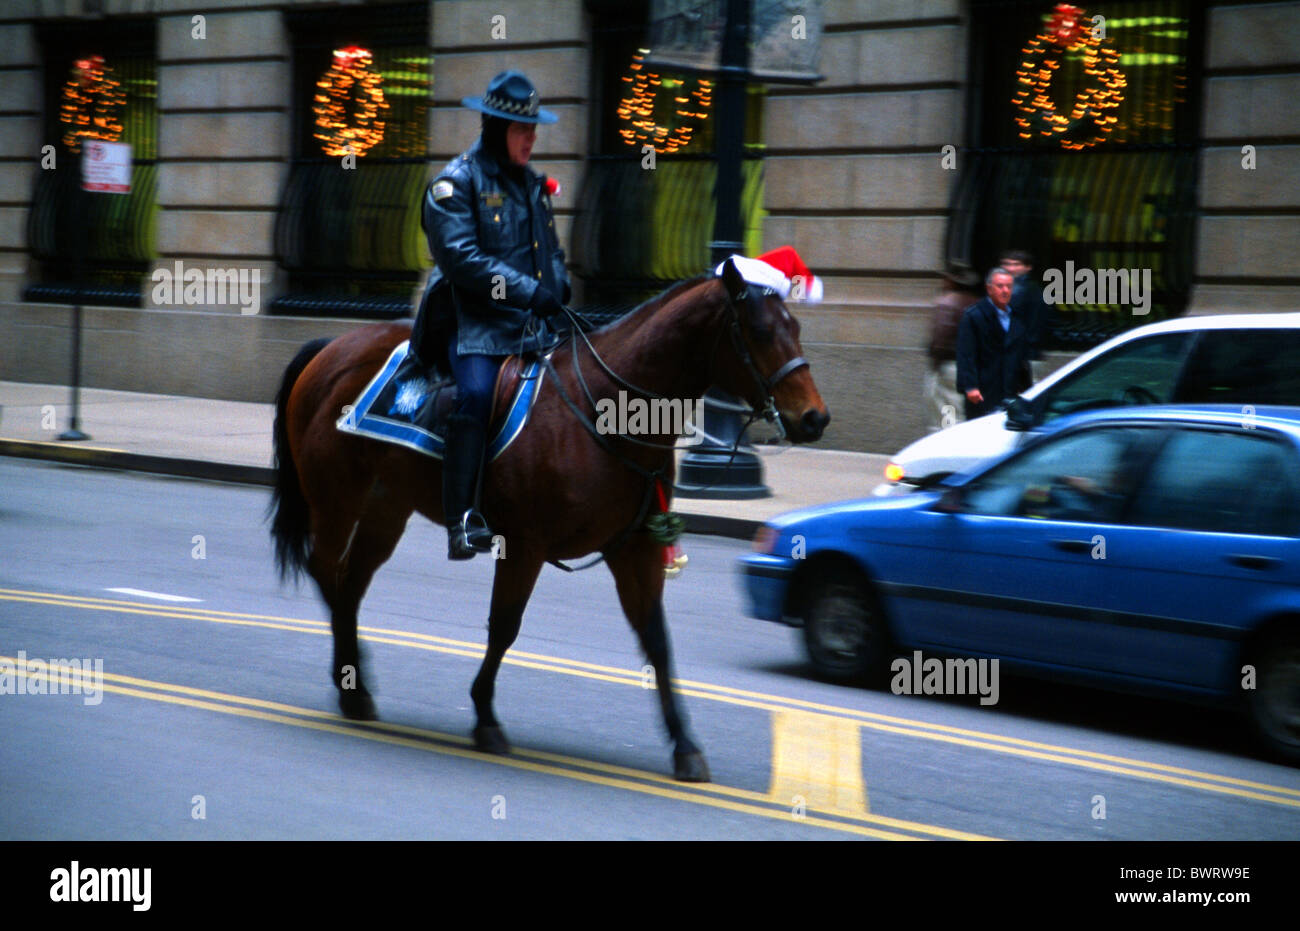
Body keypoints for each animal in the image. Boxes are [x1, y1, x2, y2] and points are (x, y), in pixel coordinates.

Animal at [269, 258, 826, 780]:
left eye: (797, 327)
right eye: (760, 331)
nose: (815, 417)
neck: (605, 411)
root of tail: (331, 346)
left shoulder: (636, 549)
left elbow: (656, 641)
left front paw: (685, 746)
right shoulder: (525, 545)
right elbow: (504, 627)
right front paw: (485, 716)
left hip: (386, 509)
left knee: (349, 583)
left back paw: (356, 685)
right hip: (336, 499)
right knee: (328, 573)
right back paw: (351, 683)